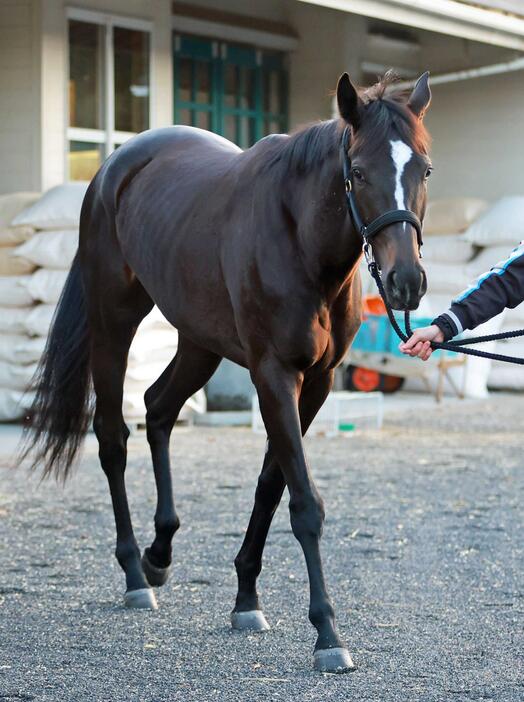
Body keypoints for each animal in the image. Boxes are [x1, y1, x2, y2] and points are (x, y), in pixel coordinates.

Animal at [23, 73, 430, 676]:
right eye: (358, 172)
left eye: (423, 169)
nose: (406, 282)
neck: (300, 239)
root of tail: (113, 168)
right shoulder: (273, 374)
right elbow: (304, 503)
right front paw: (328, 634)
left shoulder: (317, 383)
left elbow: (272, 485)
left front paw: (246, 600)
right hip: (113, 320)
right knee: (114, 437)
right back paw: (134, 573)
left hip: (198, 341)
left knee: (159, 408)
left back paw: (160, 552)